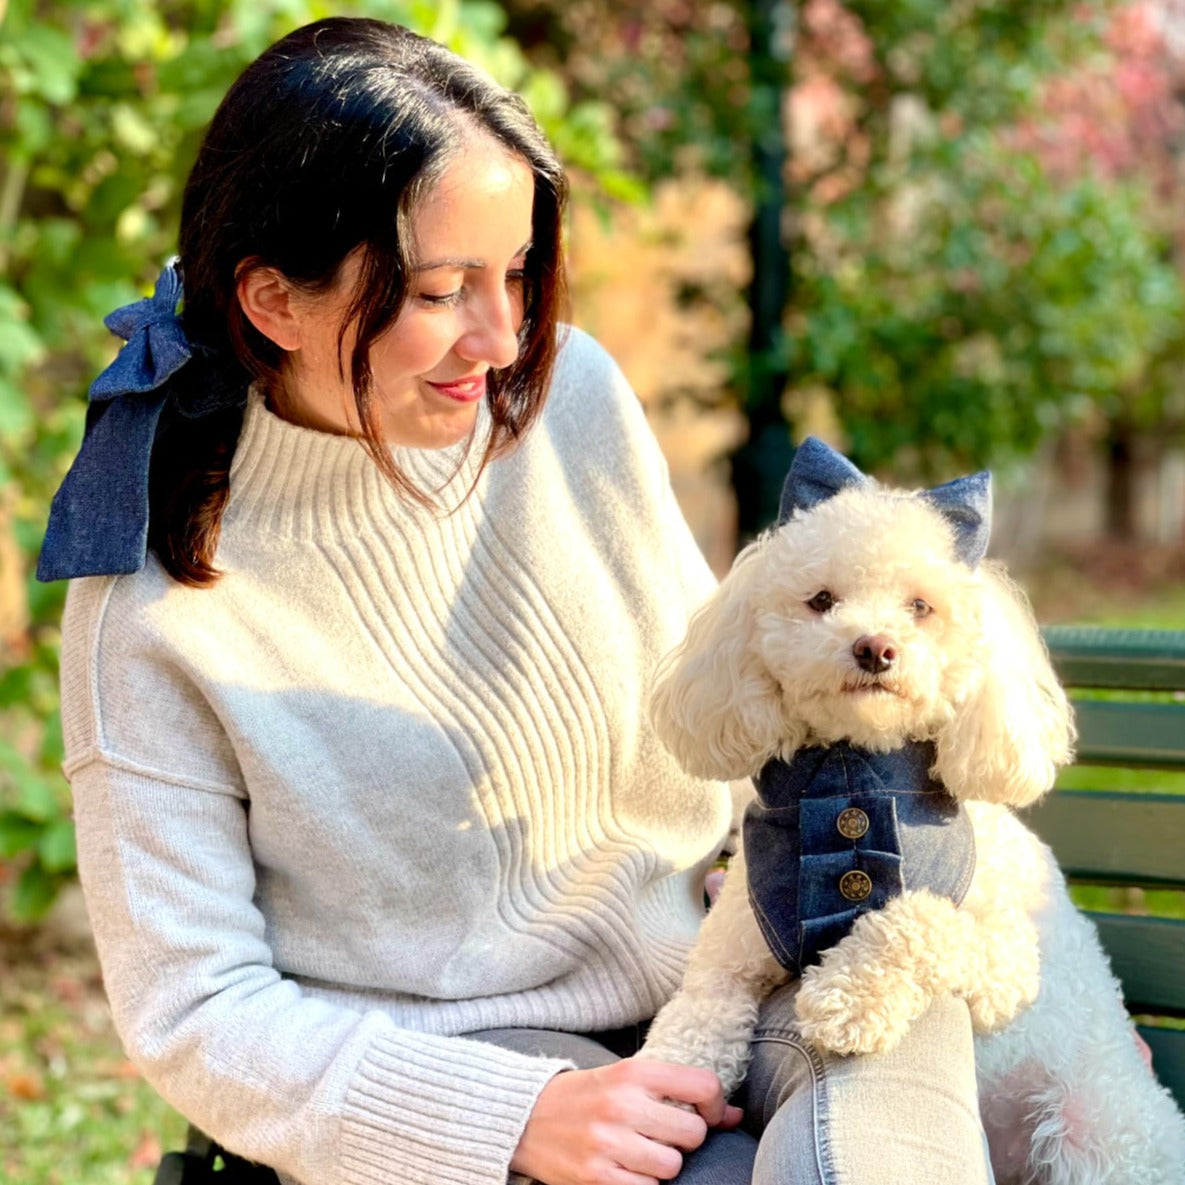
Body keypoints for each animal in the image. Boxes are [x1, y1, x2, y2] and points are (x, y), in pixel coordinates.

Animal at [639, 440, 1185, 1180]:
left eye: (920, 605)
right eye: (821, 600)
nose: (874, 647)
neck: (853, 774)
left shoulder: (1009, 958)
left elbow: (917, 917)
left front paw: (845, 998)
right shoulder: (733, 946)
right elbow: (693, 1013)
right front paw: (658, 1089)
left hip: (1092, 1135)